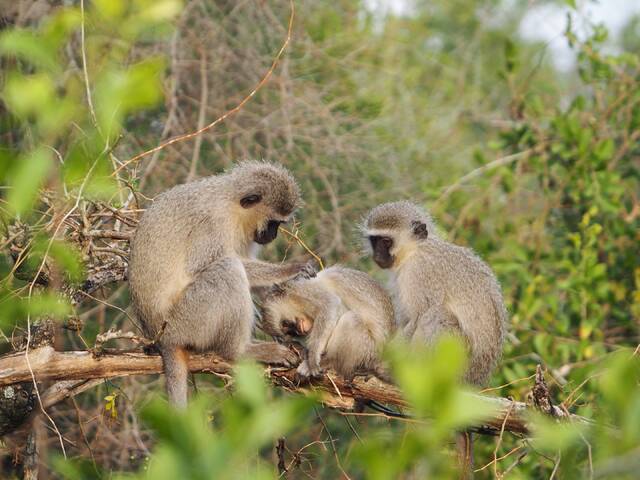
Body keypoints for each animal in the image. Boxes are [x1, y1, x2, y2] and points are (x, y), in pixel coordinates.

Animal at [128, 162, 312, 408]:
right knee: (229, 269)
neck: (231, 204)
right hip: (186, 322)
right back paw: (241, 351)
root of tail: (161, 339)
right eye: (273, 223)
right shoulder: (213, 224)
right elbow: (203, 265)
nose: (272, 235)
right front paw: (290, 270)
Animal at [260, 264, 396, 380]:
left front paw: (312, 359)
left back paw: (330, 361)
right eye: (291, 332)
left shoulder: (300, 290)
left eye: (287, 324)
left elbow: (331, 304)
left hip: (368, 350)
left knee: (351, 319)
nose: (299, 331)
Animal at [362, 202, 508, 386]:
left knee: (435, 316)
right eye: (374, 240)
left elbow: (416, 318)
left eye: (386, 241)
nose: (377, 256)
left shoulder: (419, 272)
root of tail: (475, 380)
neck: (415, 250)